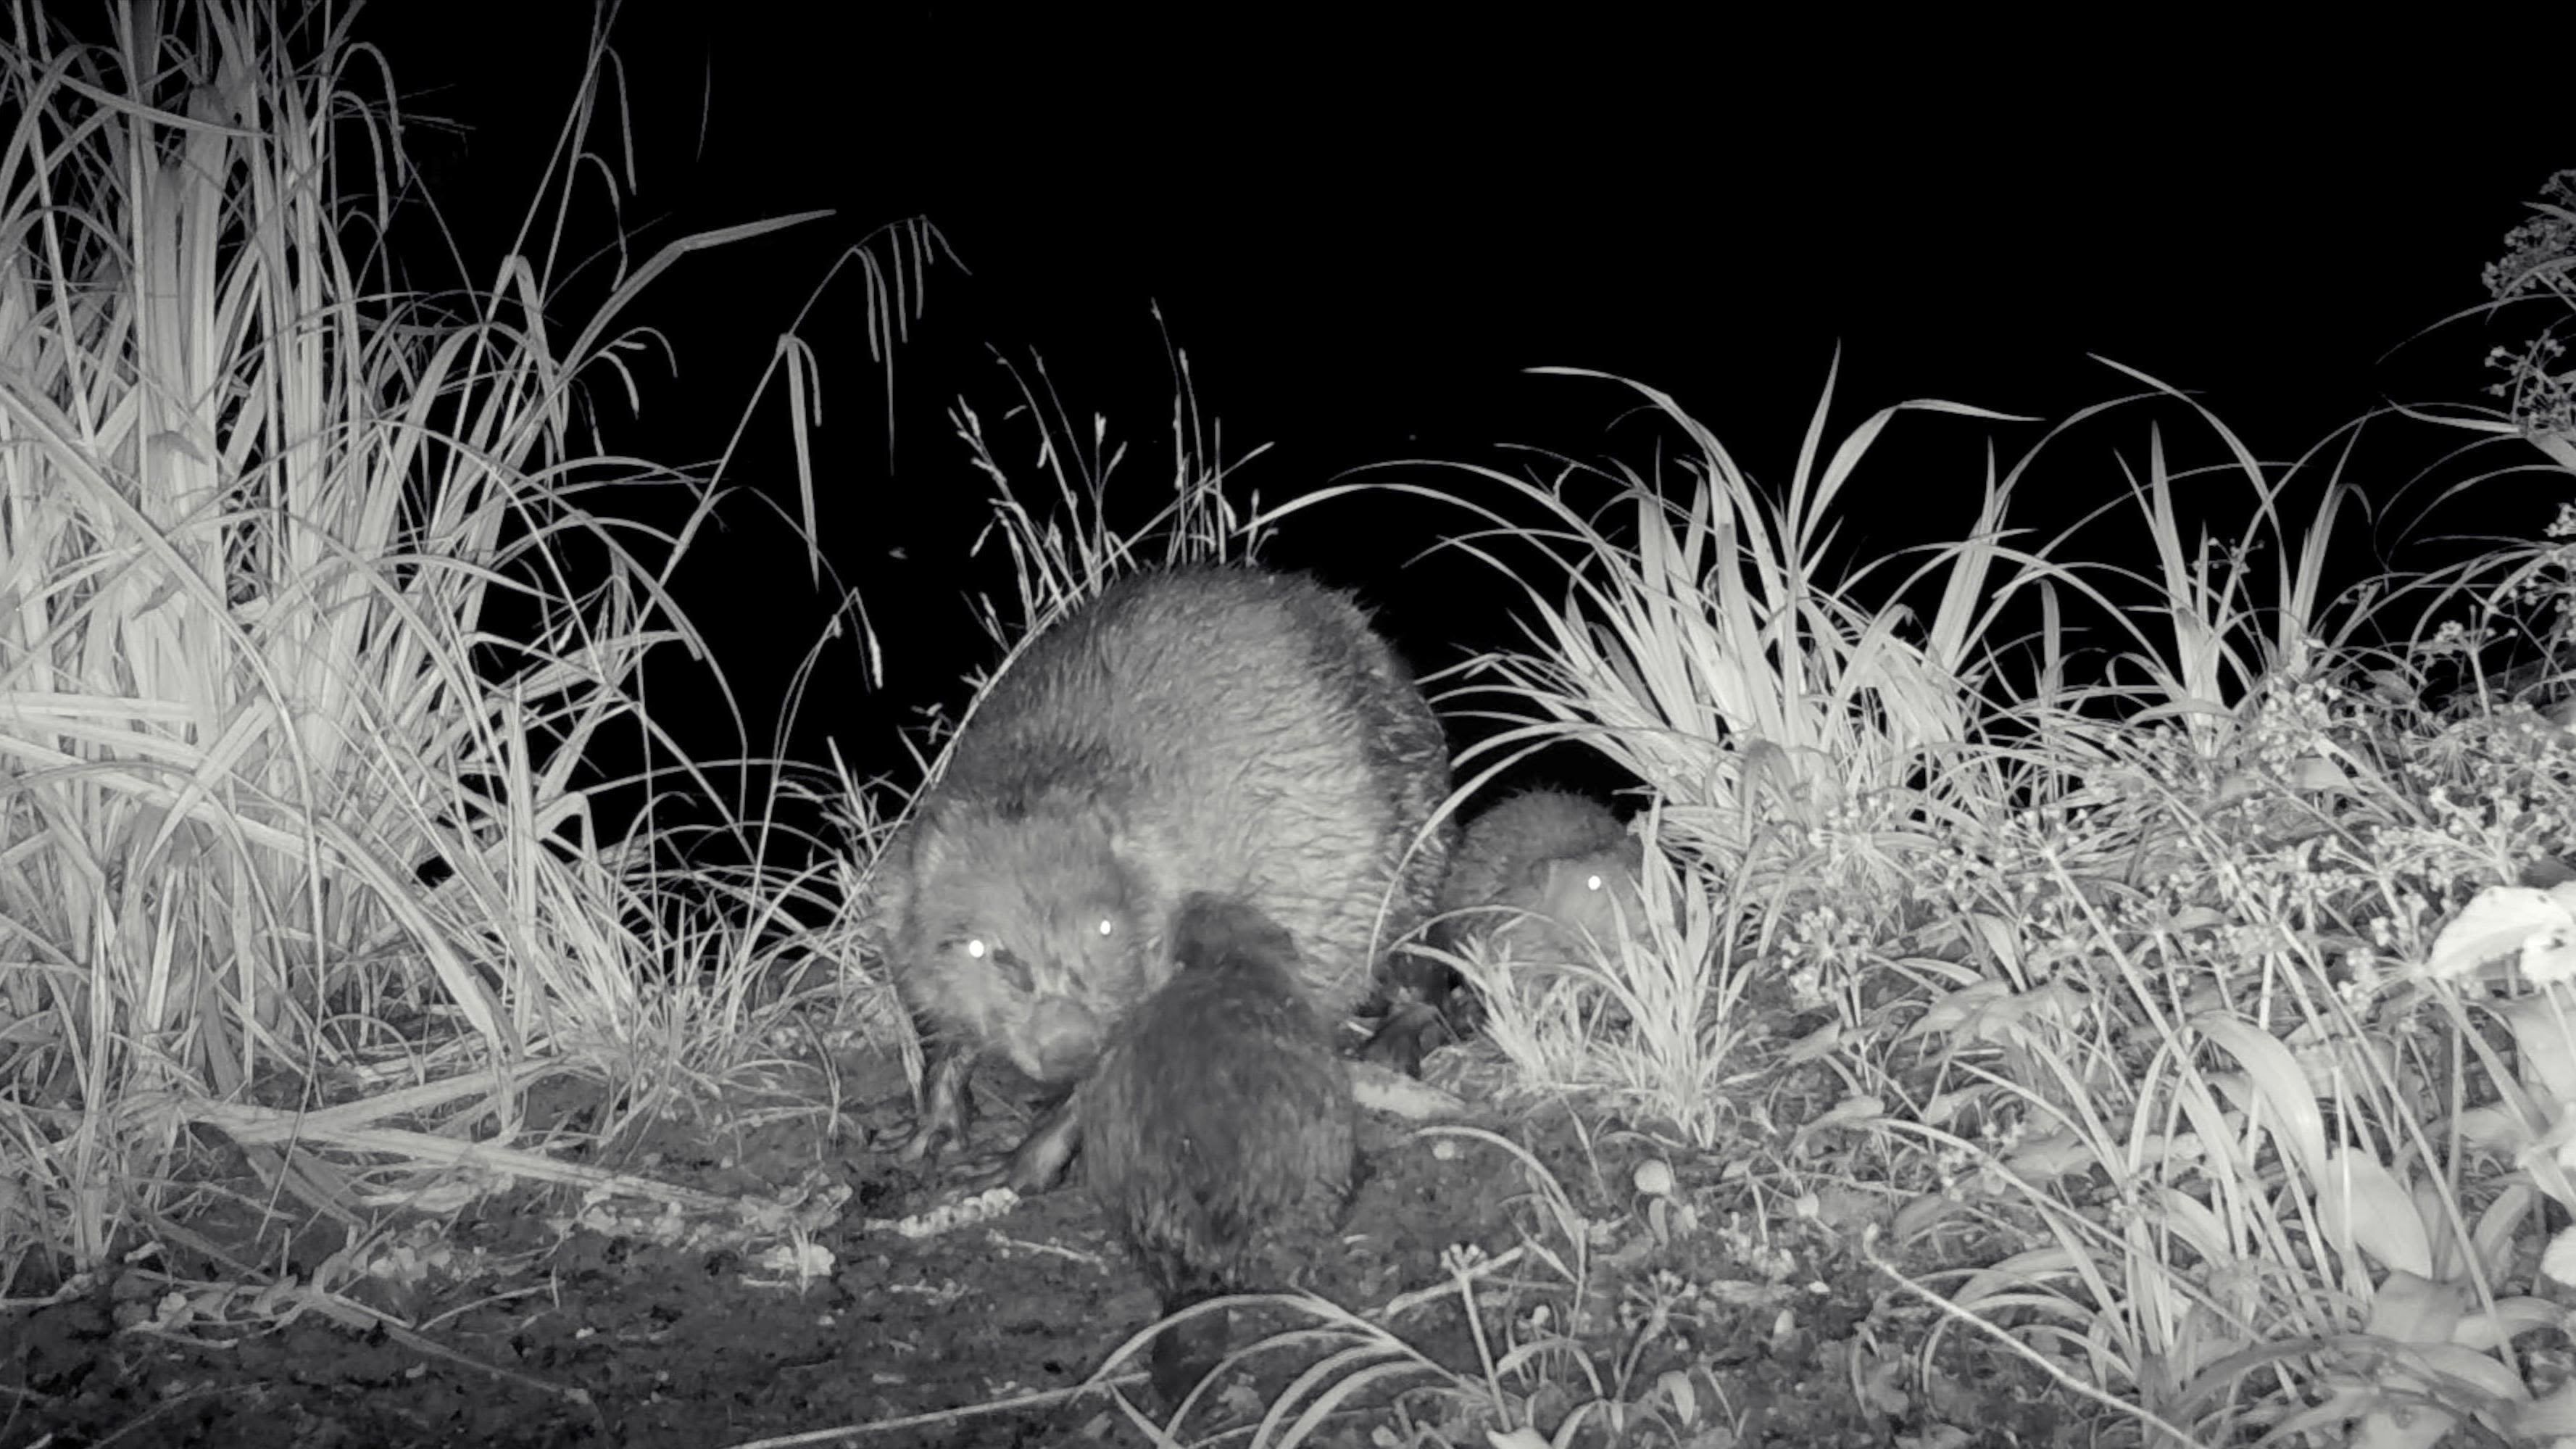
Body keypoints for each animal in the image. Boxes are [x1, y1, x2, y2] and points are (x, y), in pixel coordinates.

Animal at [876, 564, 1453, 1186]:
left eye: (1105, 927)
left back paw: (1390, 1042)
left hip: (1418, 838)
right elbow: (934, 1019)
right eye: (981, 948)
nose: (1066, 1043)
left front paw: (1012, 1163)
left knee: (1425, 963)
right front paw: (927, 1129)